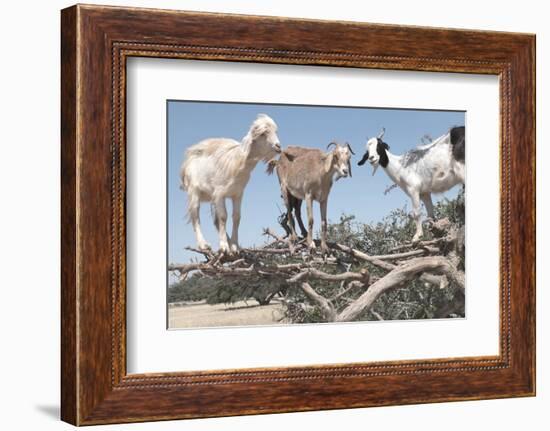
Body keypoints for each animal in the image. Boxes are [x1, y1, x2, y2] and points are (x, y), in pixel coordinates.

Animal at [181, 115, 282, 253]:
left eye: (275, 131)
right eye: (263, 133)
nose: (278, 146)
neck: (237, 162)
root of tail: (187, 162)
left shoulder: (237, 194)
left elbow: (236, 217)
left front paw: (234, 246)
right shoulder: (219, 193)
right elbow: (223, 216)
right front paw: (224, 246)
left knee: (215, 220)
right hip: (194, 192)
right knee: (195, 216)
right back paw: (204, 245)